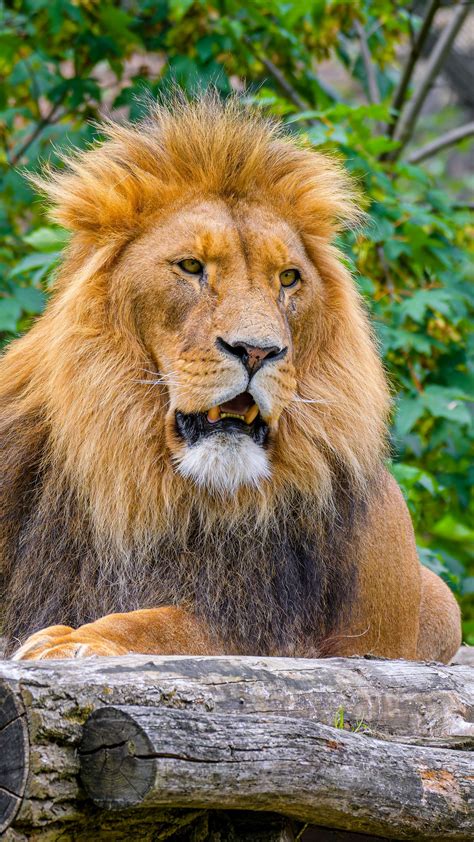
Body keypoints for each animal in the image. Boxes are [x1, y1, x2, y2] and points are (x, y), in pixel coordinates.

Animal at [1, 94, 461, 663]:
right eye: (191, 266)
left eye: (288, 278)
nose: (258, 350)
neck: (138, 488)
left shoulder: (278, 633)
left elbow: (161, 626)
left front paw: (76, 639)